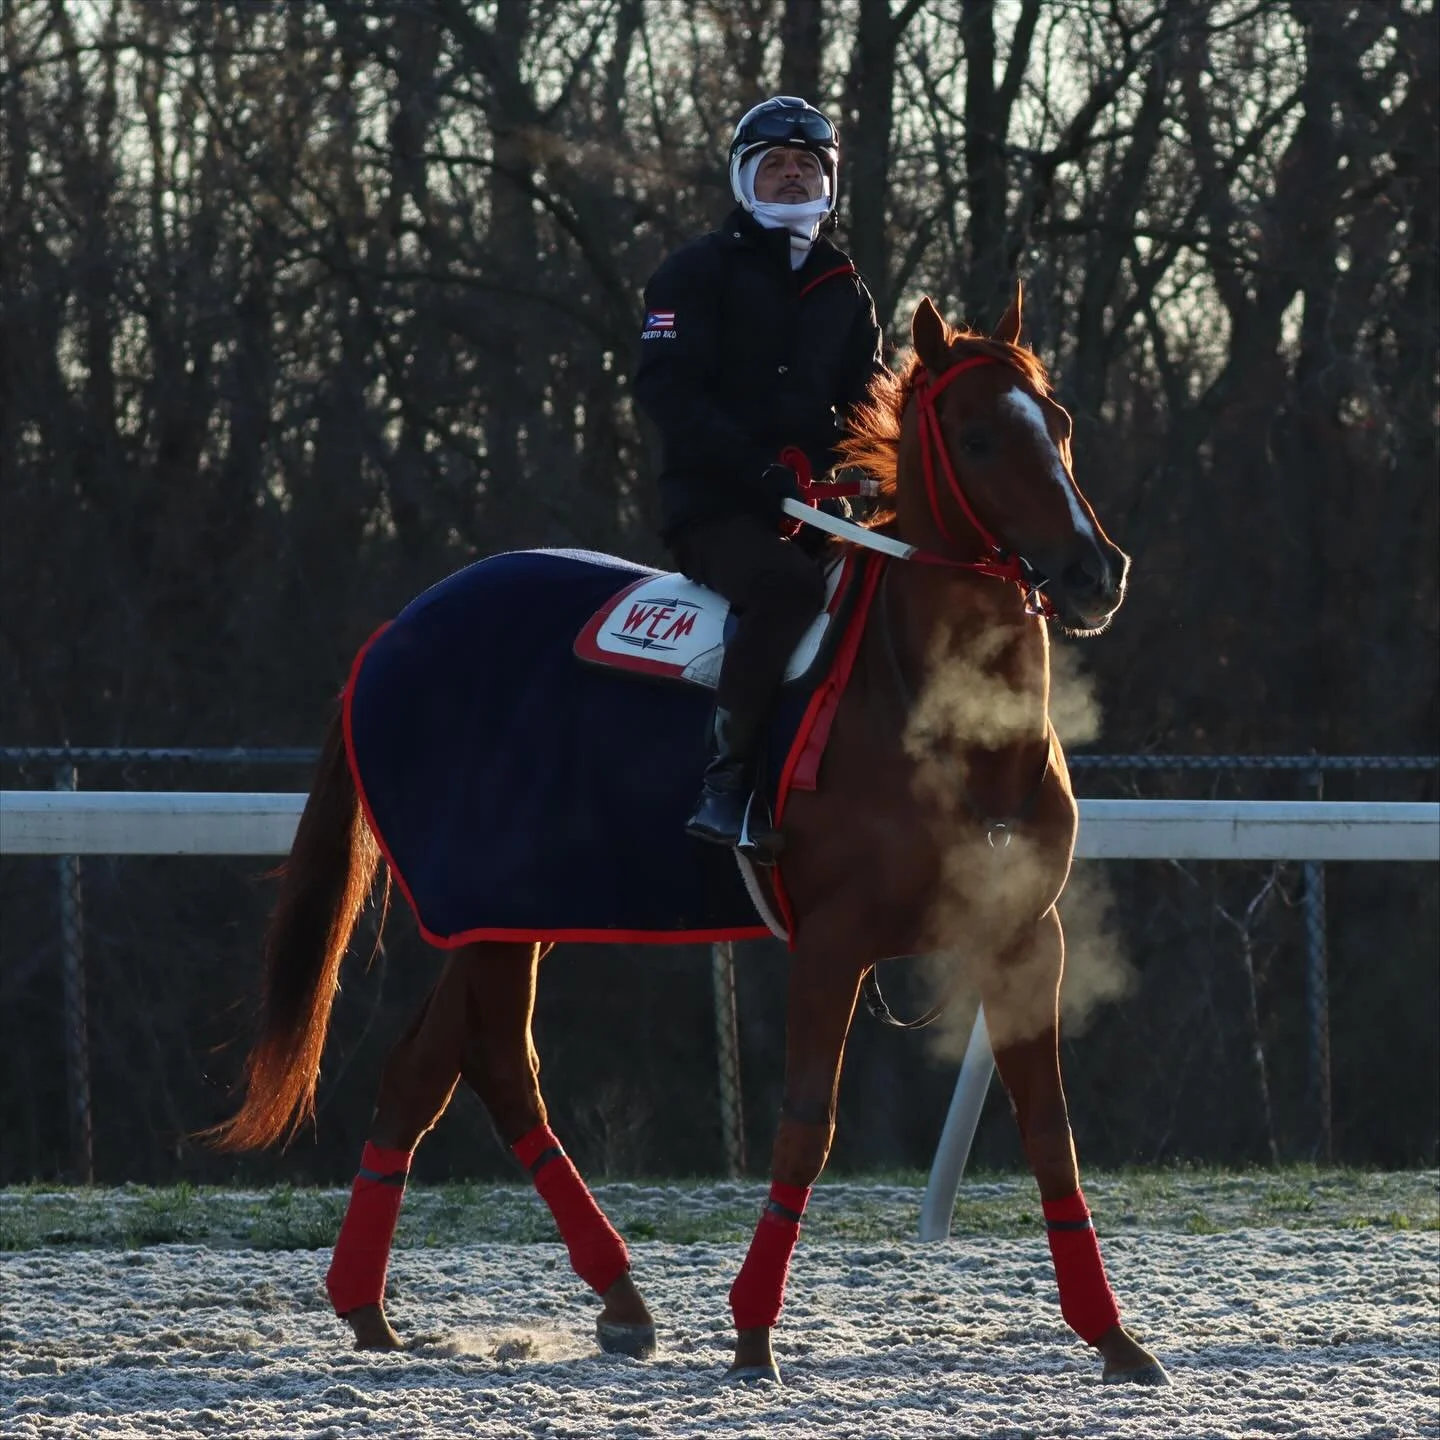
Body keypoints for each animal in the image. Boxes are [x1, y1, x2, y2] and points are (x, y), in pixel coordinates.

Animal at [206, 286, 1168, 1388]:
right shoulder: (832, 946)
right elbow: (805, 1129)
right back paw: (566, 1292)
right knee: (497, 1072)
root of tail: (396, 630)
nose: (1095, 573)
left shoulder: (1025, 940)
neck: (949, 725)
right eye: (975, 436)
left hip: (506, 913)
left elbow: (1051, 1134)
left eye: (1056, 424)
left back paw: (418, 1304)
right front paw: (753, 1331)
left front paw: (1114, 1337)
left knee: (433, 1071)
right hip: (490, 914)